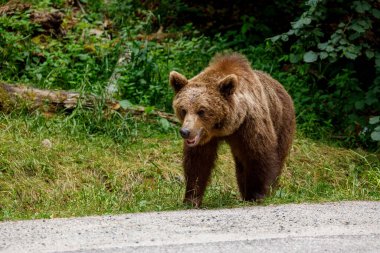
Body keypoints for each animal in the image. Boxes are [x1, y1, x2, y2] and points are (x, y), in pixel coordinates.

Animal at [169, 52, 296, 208]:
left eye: (202, 111)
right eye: (183, 109)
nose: (185, 132)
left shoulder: (249, 125)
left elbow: (259, 155)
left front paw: (257, 195)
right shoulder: (204, 139)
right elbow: (198, 163)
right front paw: (191, 199)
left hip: (282, 122)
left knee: (277, 157)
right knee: (240, 165)